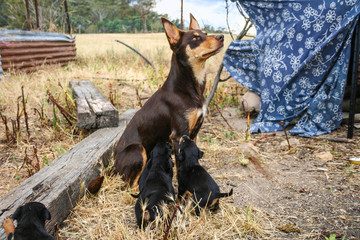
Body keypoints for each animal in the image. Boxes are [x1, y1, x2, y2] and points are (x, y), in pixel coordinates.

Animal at [112, 15, 224, 187]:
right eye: (195, 38)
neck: (189, 86)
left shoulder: (194, 133)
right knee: (130, 183)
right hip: (138, 149)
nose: (222, 37)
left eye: (205, 33)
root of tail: (113, 165)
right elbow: (180, 166)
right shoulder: (179, 136)